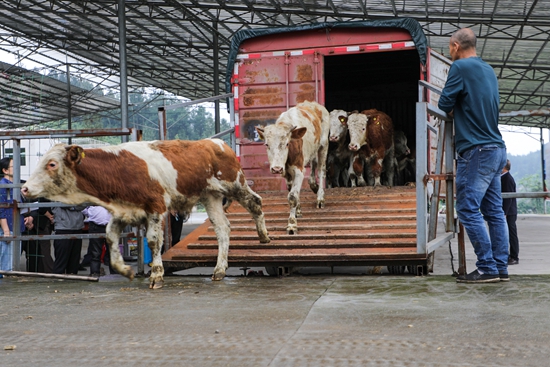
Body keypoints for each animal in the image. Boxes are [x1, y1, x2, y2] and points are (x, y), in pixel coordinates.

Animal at [21, 139, 272, 288]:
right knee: (222, 228)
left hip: (236, 184)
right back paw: (219, 269)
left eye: (52, 164)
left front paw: (157, 274)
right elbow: (110, 237)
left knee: (256, 202)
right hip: (210, 197)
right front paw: (124, 269)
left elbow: (153, 241)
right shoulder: (122, 212)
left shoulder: (156, 206)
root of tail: (216, 142)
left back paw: (264, 236)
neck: (119, 169)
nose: (24, 189)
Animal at [256, 99, 330, 234]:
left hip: (323, 145)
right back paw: (314, 186)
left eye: (287, 143)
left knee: (321, 170)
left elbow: (292, 196)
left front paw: (292, 224)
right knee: (313, 164)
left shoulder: (299, 170)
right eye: (267, 144)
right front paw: (298, 211)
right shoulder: (286, 173)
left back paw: (320, 197)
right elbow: (292, 189)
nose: (276, 169)